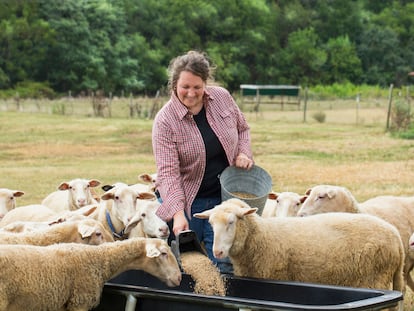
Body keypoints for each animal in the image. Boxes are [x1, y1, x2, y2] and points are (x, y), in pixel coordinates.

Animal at [194, 197, 404, 292]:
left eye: (231, 222)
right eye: (211, 223)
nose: (217, 252)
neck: (263, 235)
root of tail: (396, 236)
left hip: (374, 279)